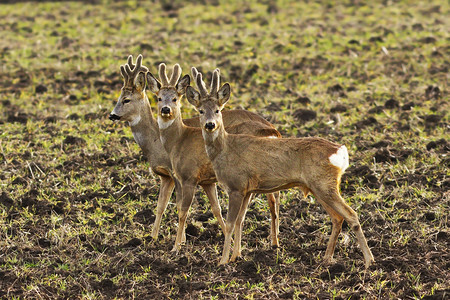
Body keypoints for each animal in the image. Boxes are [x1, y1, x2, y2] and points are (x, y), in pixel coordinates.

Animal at [185, 68, 374, 268]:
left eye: (218, 110)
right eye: (200, 110)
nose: (210, 124)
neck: (225, 148)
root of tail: (340, 151)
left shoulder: (236, 186)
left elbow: (230, 224)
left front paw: (223, 261)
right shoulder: (247, 188)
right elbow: (240, 221)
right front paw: (236, 256)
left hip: (324, 184)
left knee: (352, 215)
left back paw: (369, 260)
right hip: (319, 187)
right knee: (337, 218)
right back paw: (327, 258)